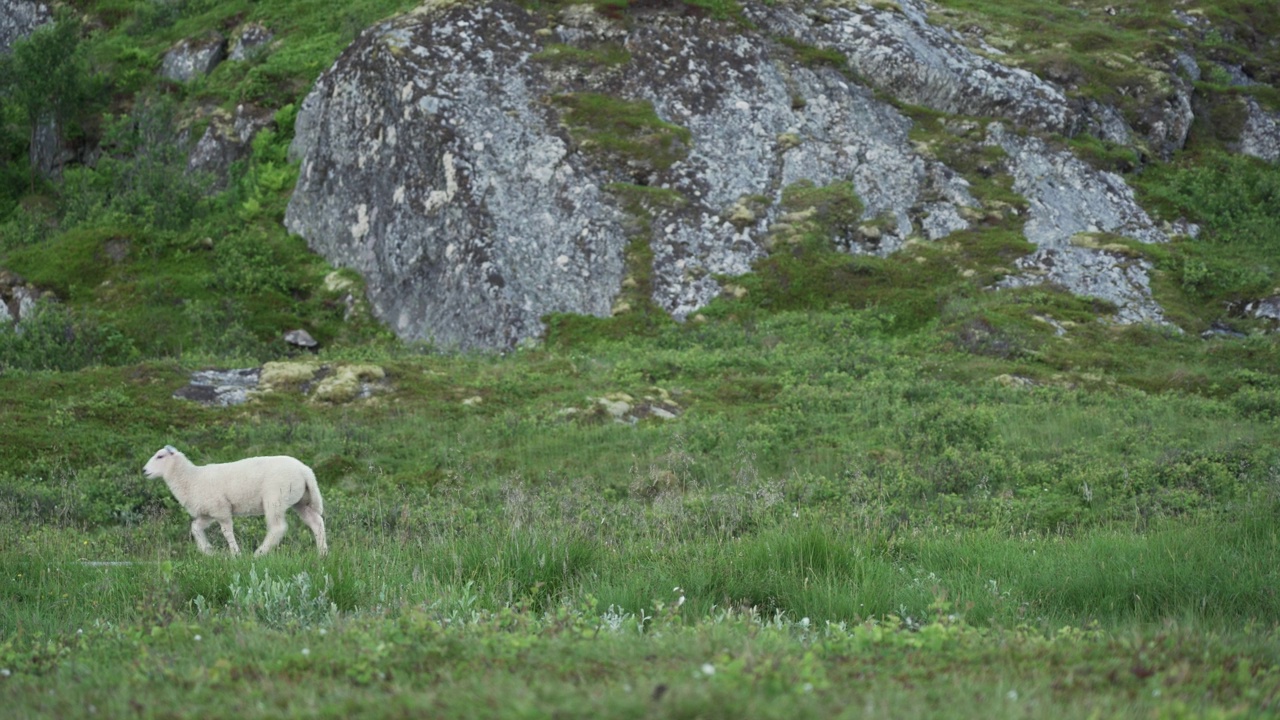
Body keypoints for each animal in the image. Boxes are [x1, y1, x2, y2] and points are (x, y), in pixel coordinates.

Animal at [142, 443, 327, 556]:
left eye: (160, 456)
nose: (144, 471)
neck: (191, 478)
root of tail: (306, 471)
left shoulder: (220, 509)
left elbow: (227, 532)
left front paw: (235, 554)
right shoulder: (208, 513)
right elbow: (195, 528)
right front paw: (207, 551)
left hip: (275, 498)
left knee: (278, 528)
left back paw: (259, 553)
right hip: (301, 501)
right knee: (316, 522)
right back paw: (322, 553)